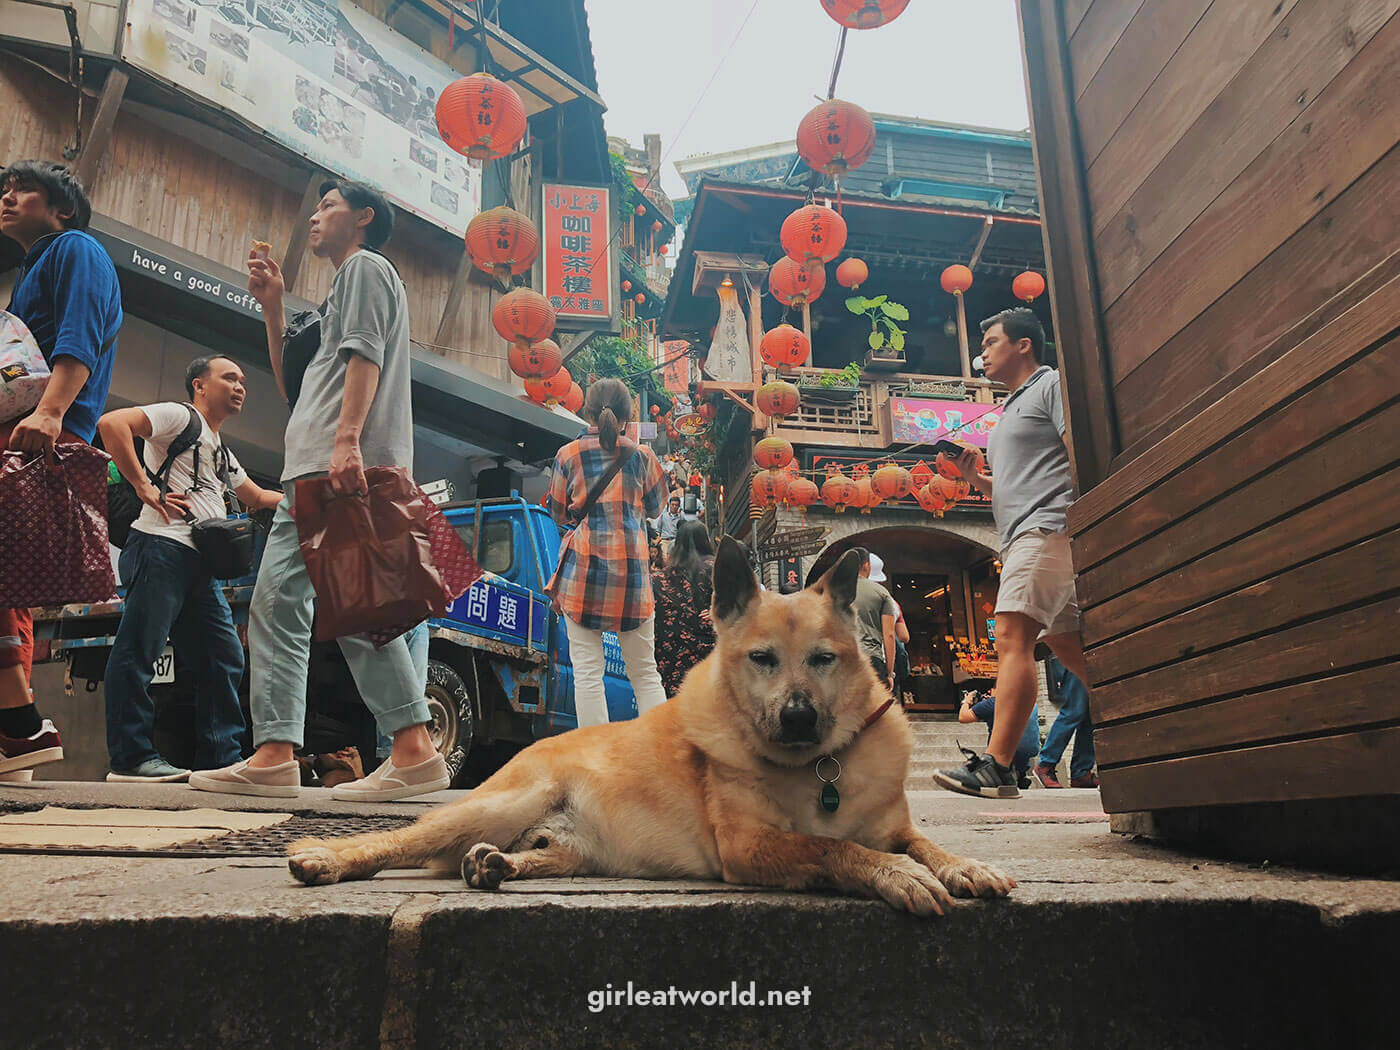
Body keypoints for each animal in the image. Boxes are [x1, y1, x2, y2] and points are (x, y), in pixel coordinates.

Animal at [287, 537, 1008, 918]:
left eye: (824, 660)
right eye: (762, 659)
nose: (798, 717)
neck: (819, 767)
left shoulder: (893, 825)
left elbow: (921, 843)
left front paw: (963, 864)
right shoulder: (748, 845)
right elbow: (833, 850)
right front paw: (895, 874)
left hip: (577, 851)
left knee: (536, 855)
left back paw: (498, 864)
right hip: (502, 800)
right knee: (394, 841)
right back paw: (328, 857)